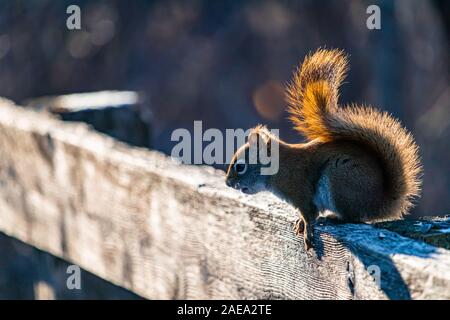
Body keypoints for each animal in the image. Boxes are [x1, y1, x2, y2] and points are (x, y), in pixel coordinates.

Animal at [225, 48, 422, 251]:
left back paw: (334, 218)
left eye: (240, 166)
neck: (279, 168)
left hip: (339, 178)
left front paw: (308, 232)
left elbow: (310, 214)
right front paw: (300, 223)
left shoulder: (301, 192)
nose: (227, 183)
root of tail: (379, 202)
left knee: (353, 218)